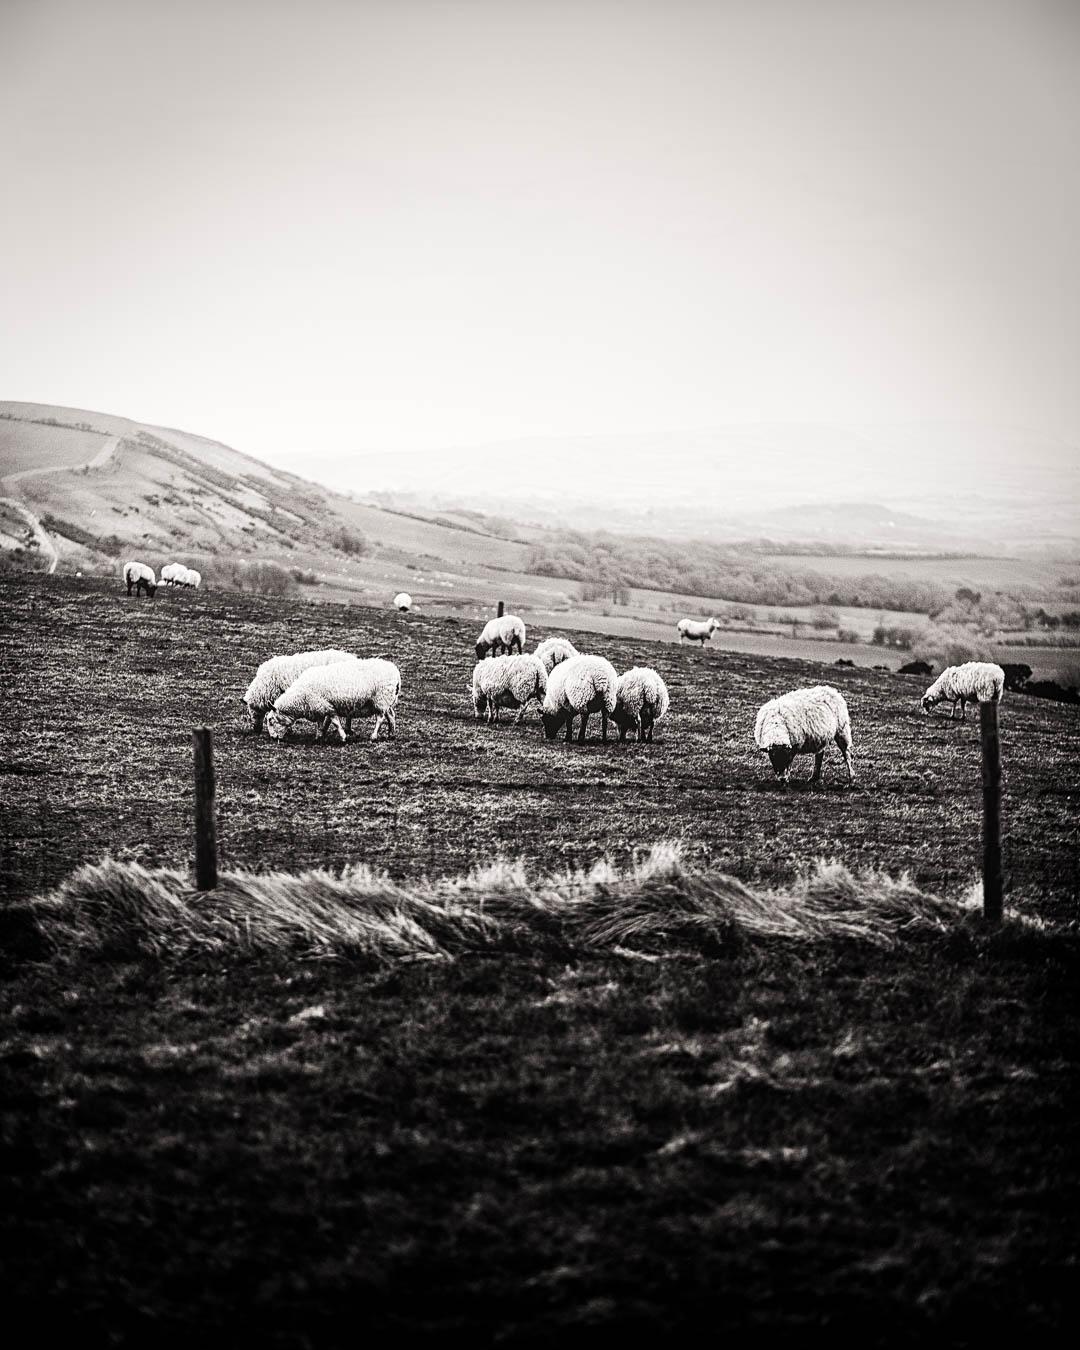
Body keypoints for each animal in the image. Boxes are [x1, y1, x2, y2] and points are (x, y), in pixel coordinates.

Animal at [267, 656, 402, 745]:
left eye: (271, 720)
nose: (274, 738)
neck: (300, 697)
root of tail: (395, 672)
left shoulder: (328, 707)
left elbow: (335, 722)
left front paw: (343, 737)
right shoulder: (320, 707)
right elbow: (321, 724)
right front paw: (319, 736)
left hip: (381, 699)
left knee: (380, 718)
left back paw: (373, 736)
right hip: (386, 701)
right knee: (391, 715)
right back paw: (391, 734)